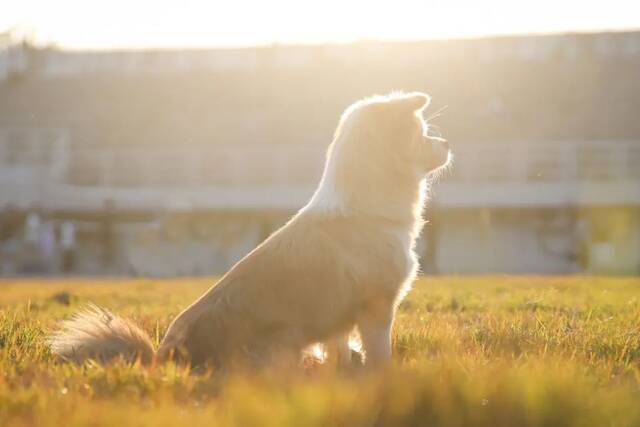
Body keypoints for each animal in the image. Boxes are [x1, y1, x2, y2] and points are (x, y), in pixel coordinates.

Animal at [48, 92, 450, 370]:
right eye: (425, 133)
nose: (447, 143)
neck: (365, 209)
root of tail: (165, 357)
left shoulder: (342, 319)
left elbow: (341, 351)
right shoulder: (377, 308)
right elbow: (380, 354)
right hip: (286, 339)